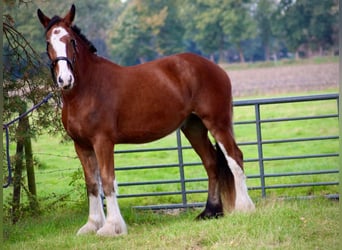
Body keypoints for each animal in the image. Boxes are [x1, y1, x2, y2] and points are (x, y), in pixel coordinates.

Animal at [38, 4, 255, 237]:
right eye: (48, 42)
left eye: (70, 40)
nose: (65, 80)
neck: (87, 90)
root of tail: (215, 67)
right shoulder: (81, 145)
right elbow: (92, 184)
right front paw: (92, 224)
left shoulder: (103, 142)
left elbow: (107, 180)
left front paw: (112, 227)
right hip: (194, 127)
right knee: (211, 162)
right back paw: (210, 212)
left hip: (217, 122)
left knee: (234, 157)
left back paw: (244, 208)